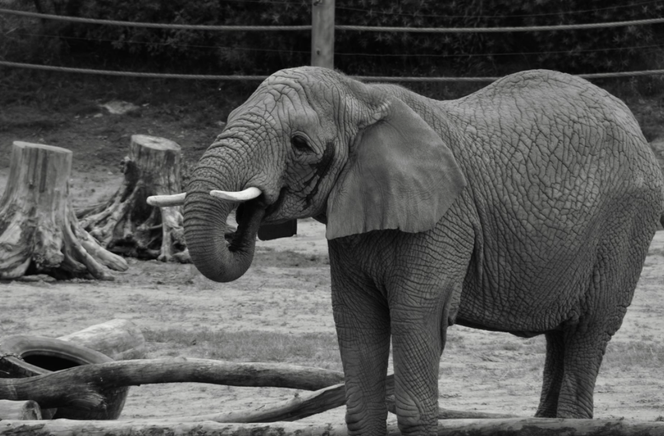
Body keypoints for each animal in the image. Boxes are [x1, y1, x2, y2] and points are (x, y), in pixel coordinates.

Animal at [149, 68, 664, 436]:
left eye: (299, 143)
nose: (247, 218)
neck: (360, 95)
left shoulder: (445, 218)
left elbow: (418, 316)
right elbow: (356, 324)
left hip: (628, 223)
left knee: (589, 330)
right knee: (561, 336)